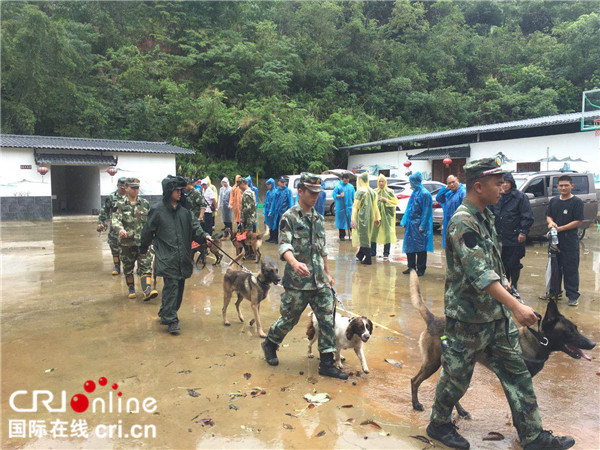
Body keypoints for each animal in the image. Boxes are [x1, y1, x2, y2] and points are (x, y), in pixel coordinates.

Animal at [408, 268, 596, 418]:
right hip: (433, 363)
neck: (536, 340)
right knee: (415, 381)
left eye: (576, 328)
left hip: (456, 366)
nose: (592, 344)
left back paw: (460, 411)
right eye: (569, 332)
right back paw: (416, 405)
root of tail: (433, 319)